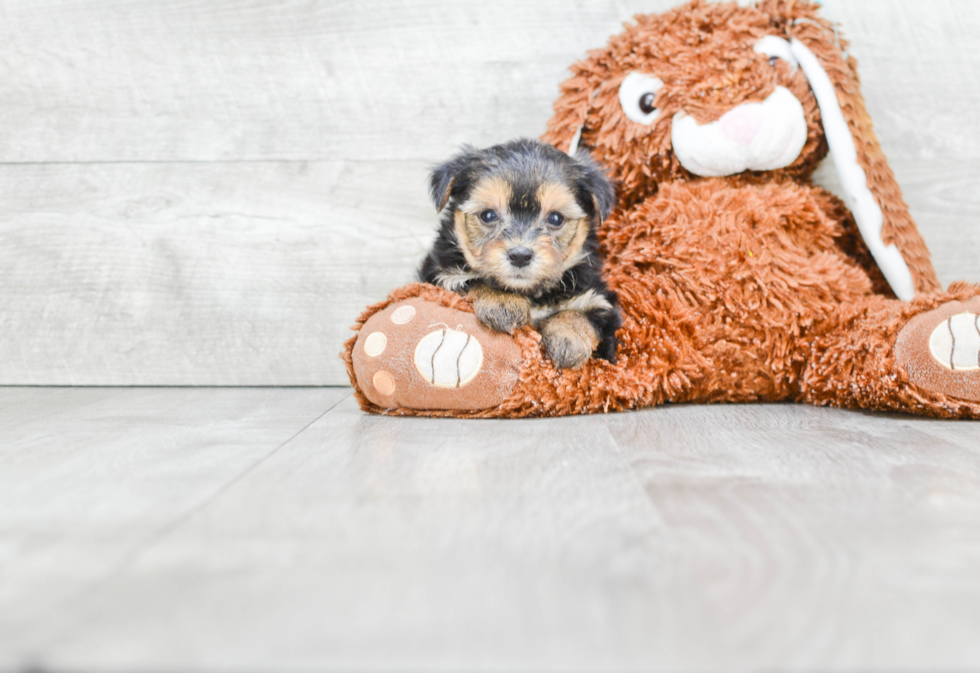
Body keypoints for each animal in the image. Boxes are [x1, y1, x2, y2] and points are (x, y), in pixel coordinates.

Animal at [420, 137, 620, 368]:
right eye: (488, 215)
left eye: (555, 218)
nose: (520, 255)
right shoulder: (441, 276)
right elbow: (474, 280)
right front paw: (503, 301)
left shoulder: (599, 298)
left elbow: (584, 312)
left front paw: (570, 336)